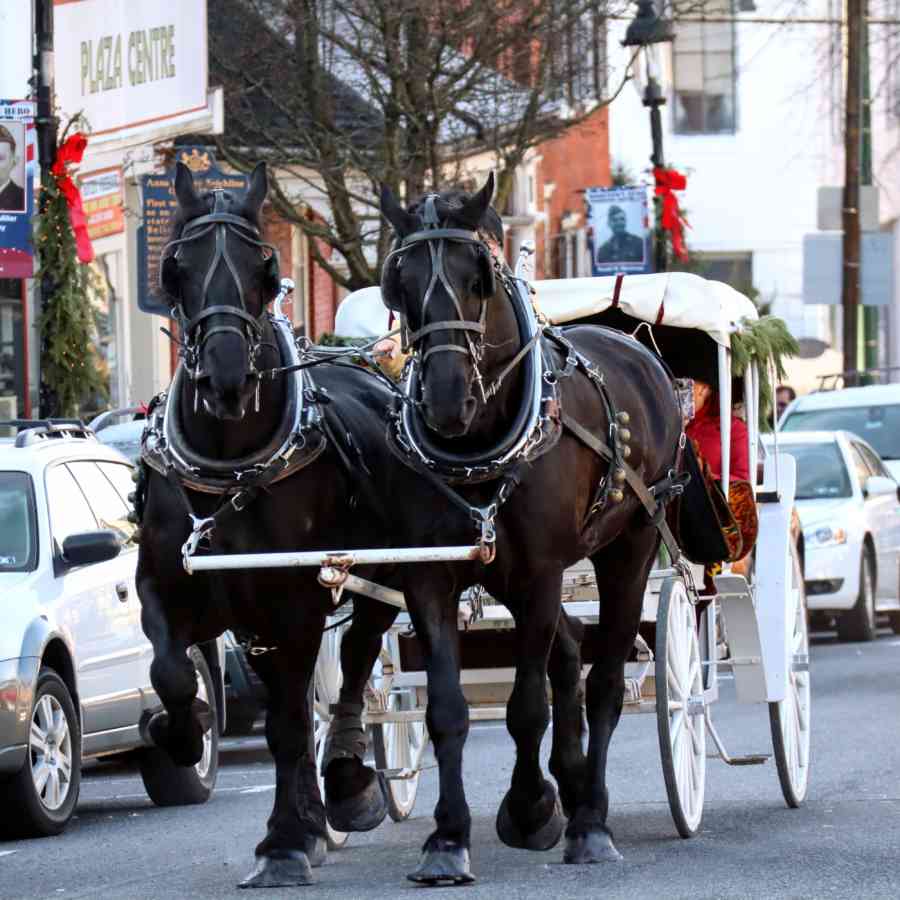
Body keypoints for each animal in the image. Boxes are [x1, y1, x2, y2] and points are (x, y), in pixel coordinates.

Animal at [368, 176, 684, 872]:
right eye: (398, 282)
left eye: (478, 276)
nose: (446, 399)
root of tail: (637, 346)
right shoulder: (430, 578)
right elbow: (447, 710)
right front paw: (448, 838)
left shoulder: (542, 572)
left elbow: (525, 706)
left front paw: (529, 806)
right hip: (508, 577)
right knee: (570, 651)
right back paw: (570, 784)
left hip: (629, 546)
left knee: (604, 680)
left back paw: (590, 819)